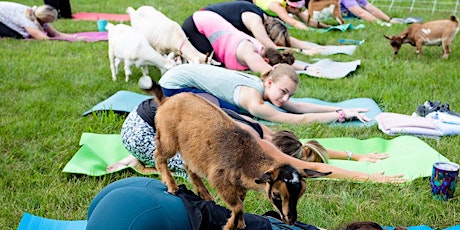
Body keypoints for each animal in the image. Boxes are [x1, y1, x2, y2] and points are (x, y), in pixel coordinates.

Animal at [145, 78, 330, 229]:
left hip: (192, 150)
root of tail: (166, 100)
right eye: (277, 194)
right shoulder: (220, 179)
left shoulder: (240, 187)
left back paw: (205, 195)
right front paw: (229, 227)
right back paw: (172, 186)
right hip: (168, 138)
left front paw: (239, 224)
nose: (290, 220)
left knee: (188, 166)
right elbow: (239, 207)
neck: (245, 159)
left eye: (301, 193)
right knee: (159, 156)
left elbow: (240, 203)